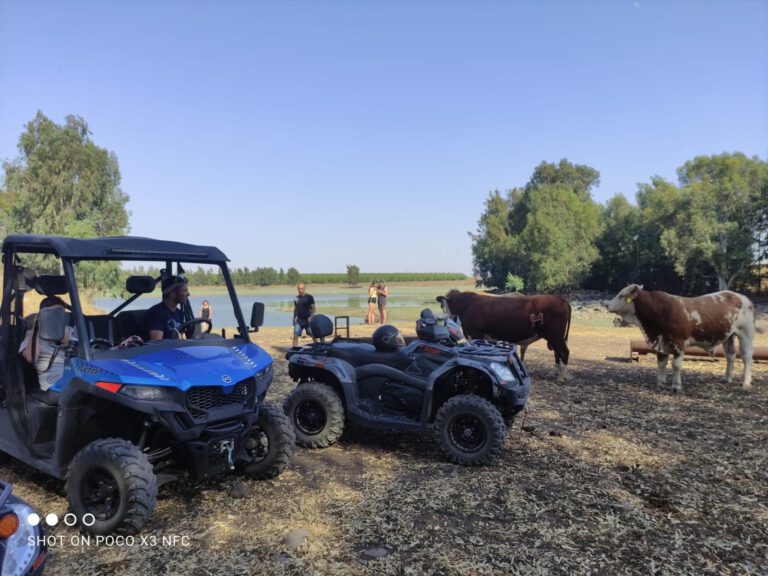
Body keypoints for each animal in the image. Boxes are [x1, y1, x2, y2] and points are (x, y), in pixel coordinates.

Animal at [438, 288, 568, 382]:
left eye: (443, 306)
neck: (467, 305)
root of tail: (560, 298)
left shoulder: (477, 334)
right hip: (554, 338)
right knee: (557, 353)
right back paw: (555, 373)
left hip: (556, 336)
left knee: (563, 352)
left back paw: (561, 377)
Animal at [608, 284, 760, 392]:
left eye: (621, 295)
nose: (607, 305)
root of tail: (741, 297)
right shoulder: (661, 342)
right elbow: (661, 363)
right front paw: (660, 382)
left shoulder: (679, 343)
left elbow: (675, 365)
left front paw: (676, 386)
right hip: (729, 335)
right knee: (731, 355)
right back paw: (727, 378)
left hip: (746, 333)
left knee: (746, 356)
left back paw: (746, 382)